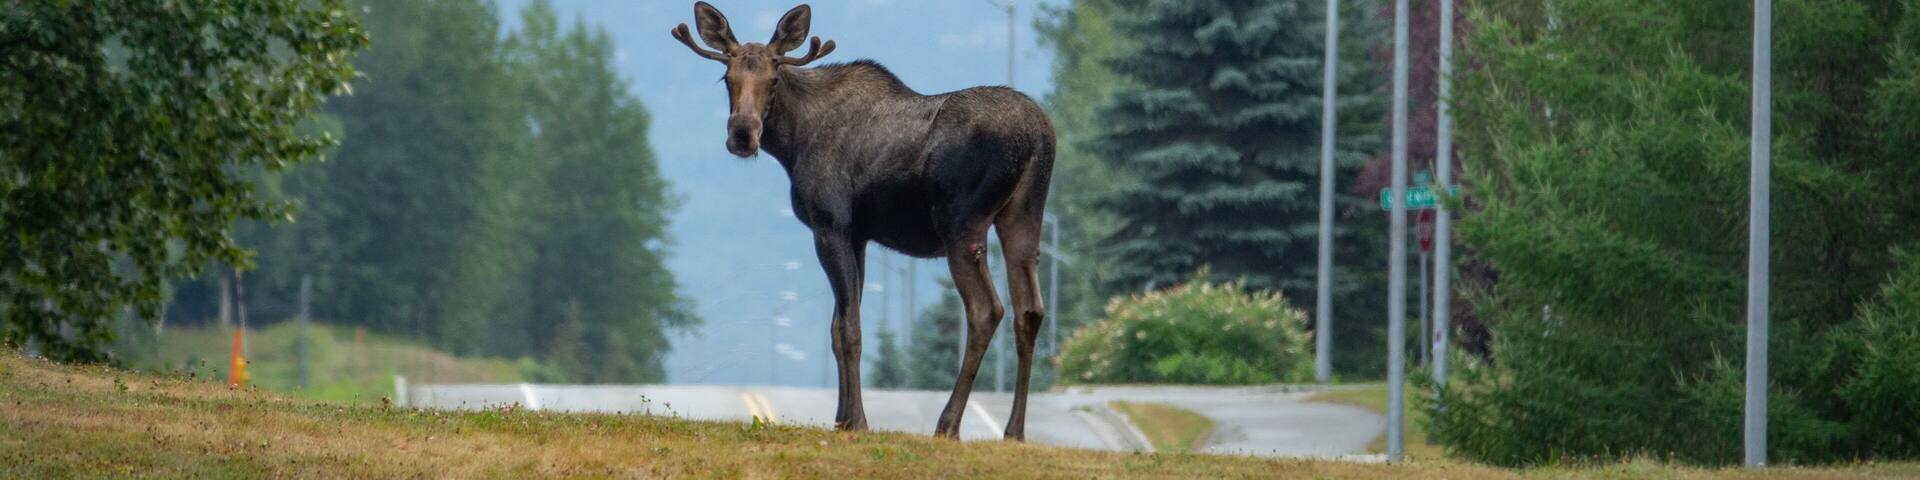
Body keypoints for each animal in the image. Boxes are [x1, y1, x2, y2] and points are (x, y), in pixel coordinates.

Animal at [671, 2, 1055, 440]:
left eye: (774, 79)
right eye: (727, 77)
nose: (742, 133)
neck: (793, 142)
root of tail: (1039, 137)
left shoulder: (830, 225)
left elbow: (850, 329)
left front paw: (858, 420)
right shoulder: (858, 236)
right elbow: (837, 328)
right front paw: (841, 417)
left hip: (961, 224)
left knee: (986, 309)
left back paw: (948, 425)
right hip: (1024, 215)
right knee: (1030, 310)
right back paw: (1015, 431)